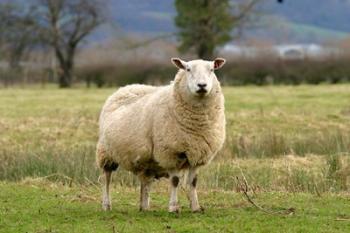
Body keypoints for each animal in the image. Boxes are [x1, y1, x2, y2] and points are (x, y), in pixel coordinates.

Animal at [96, 57, 227, 212]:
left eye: (212, 69)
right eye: (187, 69)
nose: (202, 85)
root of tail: (125, 88)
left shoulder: (198, 154)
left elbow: (193, 182)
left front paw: (196, 207)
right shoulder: (170, 152)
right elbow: (175, 181)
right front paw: (173, 207)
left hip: (145, 160)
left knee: (145, 181)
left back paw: (144, 207)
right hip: (106, 153)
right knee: (106, 178)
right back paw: (106, 205)